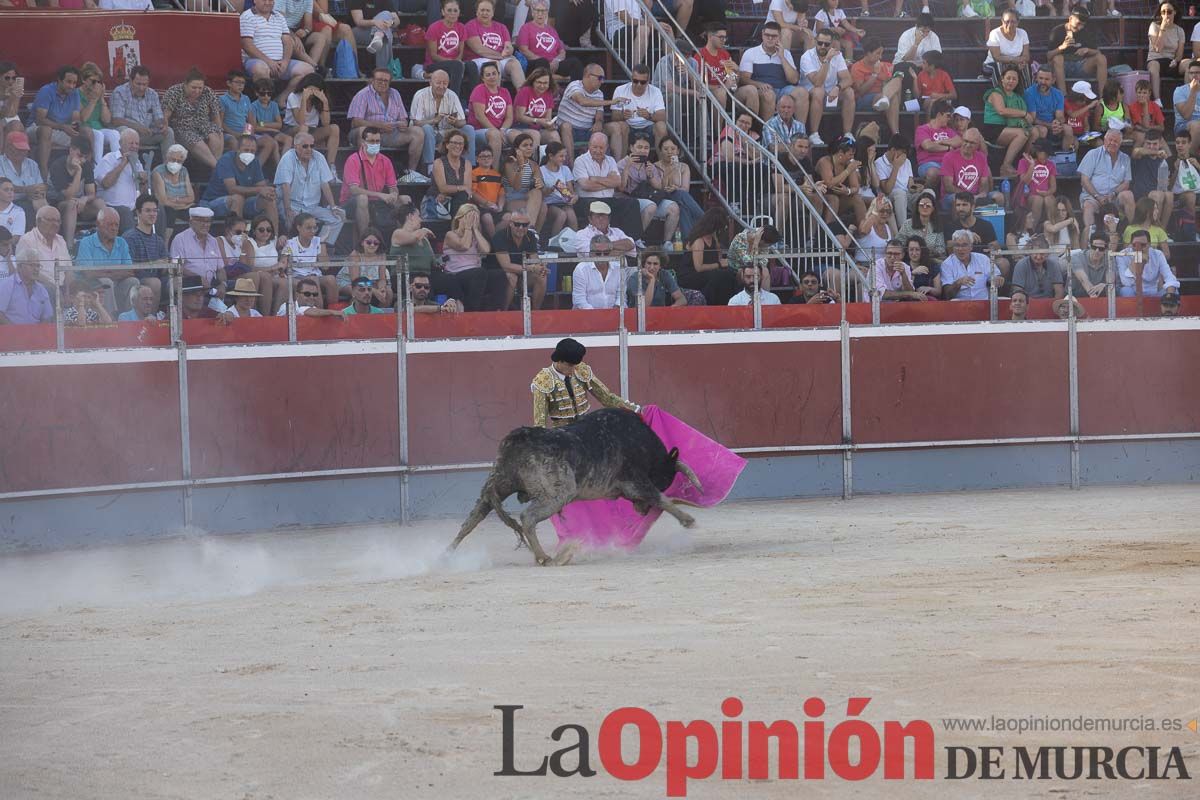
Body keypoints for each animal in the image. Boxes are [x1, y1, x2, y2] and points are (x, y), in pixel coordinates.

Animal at [451, 410, 700, 566]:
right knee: (527, 517)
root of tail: (518, 439)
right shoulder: (635, 481)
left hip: (499, 484)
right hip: (558, 494)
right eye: (664, 478)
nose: (642, 511)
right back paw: (546, 558)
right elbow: (661, 498)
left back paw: (447, 554)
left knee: (473, 518)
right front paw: (689, 521)